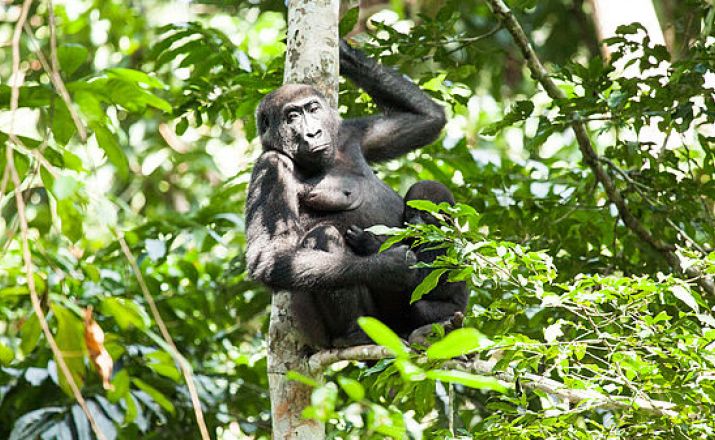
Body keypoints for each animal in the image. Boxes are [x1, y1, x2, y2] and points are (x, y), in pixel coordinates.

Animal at [344, 180, 468, 338]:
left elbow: (417, 284)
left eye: (425, 214)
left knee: (420, 307)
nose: (415, 222)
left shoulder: (440, 244)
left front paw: (366, 241)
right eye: (412, 212)